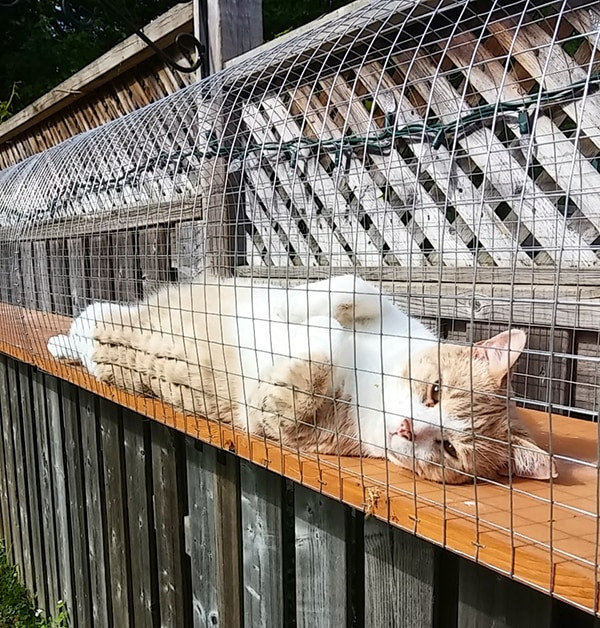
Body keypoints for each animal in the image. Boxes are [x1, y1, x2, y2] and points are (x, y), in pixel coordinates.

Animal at [47, 272, 556, 484]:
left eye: (449, 449)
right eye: (434, 392)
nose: (410, 428)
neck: (370, 385)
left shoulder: (277, 415)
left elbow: (308, 368)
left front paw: (316, 333)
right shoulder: (379, 309)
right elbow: (352, 287)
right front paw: (294, 309)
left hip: (112, 342)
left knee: (90, 333)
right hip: (126, 318)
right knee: (90, 318)